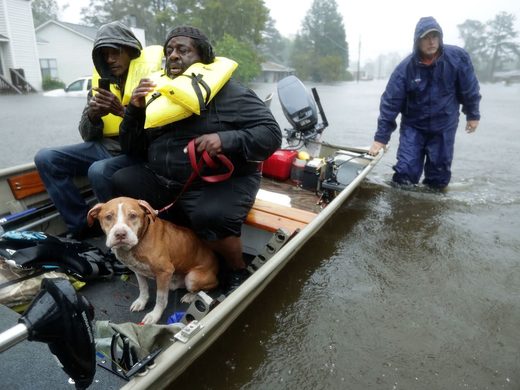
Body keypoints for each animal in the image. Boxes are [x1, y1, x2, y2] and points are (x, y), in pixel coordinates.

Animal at [88, 197, 218, 324]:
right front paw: (141, 302)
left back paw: (190, 296)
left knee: (207, 288)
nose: (120, 234)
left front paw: (154, 315)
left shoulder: (164, 271)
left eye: (133, 215)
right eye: (108, 217)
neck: (140, 241)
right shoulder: (137, 270)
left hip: (192, 278)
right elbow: (143, 288)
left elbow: (160, 299)